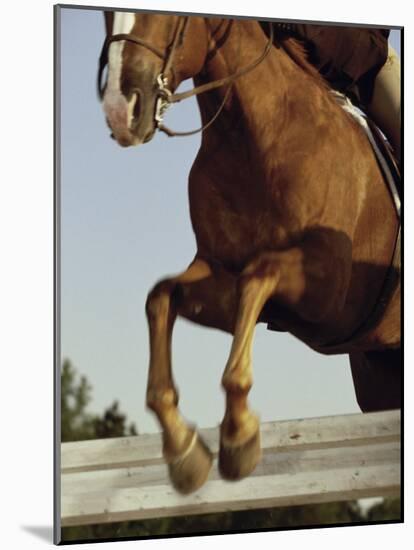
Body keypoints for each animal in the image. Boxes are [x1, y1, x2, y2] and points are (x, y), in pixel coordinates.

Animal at [98, 11, 402, 496]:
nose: (119, 112)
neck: (257, 135)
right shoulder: (222, 276)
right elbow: (162, 297)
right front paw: (185, 452)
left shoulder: (330, 292)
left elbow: (258, 276)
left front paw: (239, 438)